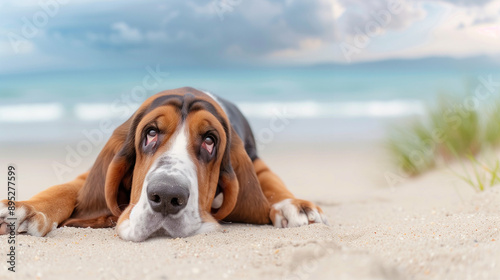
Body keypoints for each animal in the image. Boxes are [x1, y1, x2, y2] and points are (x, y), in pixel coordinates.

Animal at [0, 87, 326, 241]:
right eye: (151, 133)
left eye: (210, 140)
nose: (168, 196)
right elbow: (67, 187)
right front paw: (27, 209)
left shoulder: (256, 161)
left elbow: (270, 181)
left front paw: (295, 205)